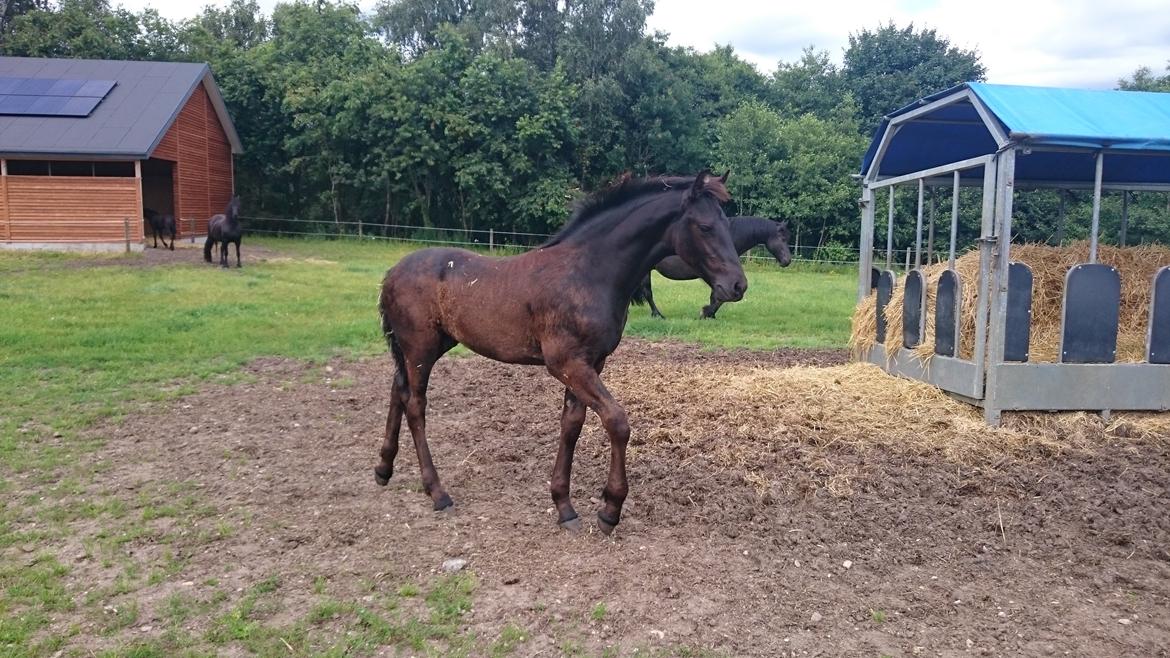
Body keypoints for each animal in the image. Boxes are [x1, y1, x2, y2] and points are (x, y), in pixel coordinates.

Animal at [376, 169, 748, 533]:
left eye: (727, 224)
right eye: (705, 227)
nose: (738, 285)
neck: (588, 272)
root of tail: (391, 272)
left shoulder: (591, 363)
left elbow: (572, 424)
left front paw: (565, 507)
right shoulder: (566, 363)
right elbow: (617, 421)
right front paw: (609, 510)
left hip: (429, 346)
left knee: (397, 389)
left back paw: (383, 469)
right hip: (420, 348)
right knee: (415, 404)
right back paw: (438, 493)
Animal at [631, 215, 795, 318]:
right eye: (782, 238)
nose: (787, 261)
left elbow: (717, 297)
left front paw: (710, 314)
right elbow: (721, 297)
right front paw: (706, 313)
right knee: (648, 293)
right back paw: (658, 315)